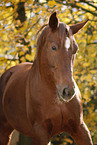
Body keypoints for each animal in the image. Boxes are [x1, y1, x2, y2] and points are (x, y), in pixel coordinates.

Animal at [0, 12, 93, 145]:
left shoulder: (80, 129)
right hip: (4, 132)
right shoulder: (41, 133)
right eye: (53, 47)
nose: (68, 91)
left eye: (75, 49)